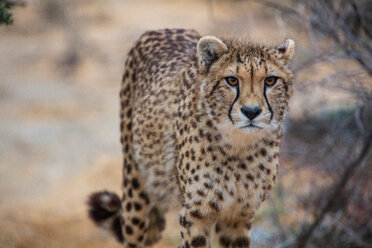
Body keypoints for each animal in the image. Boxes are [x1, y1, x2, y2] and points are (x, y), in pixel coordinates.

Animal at [88, 28, 294, 248]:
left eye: (270, 80)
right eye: (231, 80)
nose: (251, 111)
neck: (238, 147)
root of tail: (163, 29)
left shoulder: (238, 215)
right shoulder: (195, 214)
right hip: (135, 185)